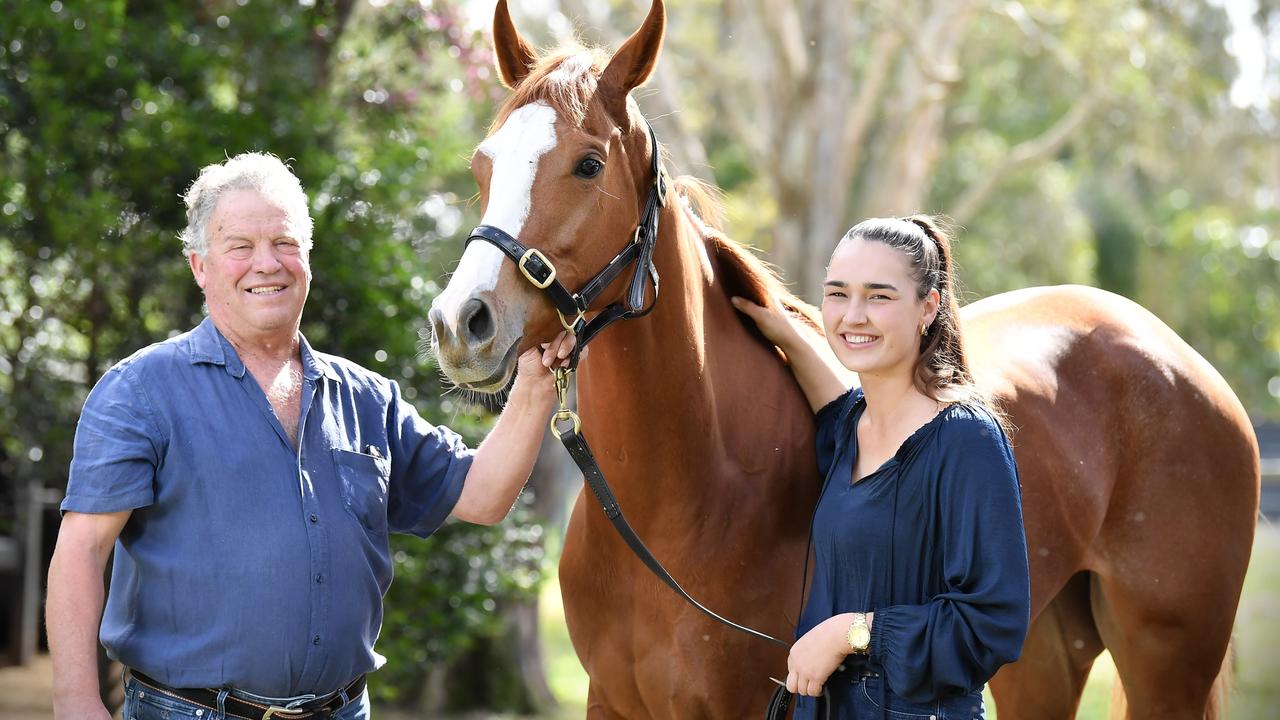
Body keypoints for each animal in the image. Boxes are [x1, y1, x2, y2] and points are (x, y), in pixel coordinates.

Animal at [430, 2, 1259, 712]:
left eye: (588, 165)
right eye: (481, 165)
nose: (460, 322)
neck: (693, 496)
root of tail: (1180, 360)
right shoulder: (611, 702)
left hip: (1167, 660)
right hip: (1041, 653)